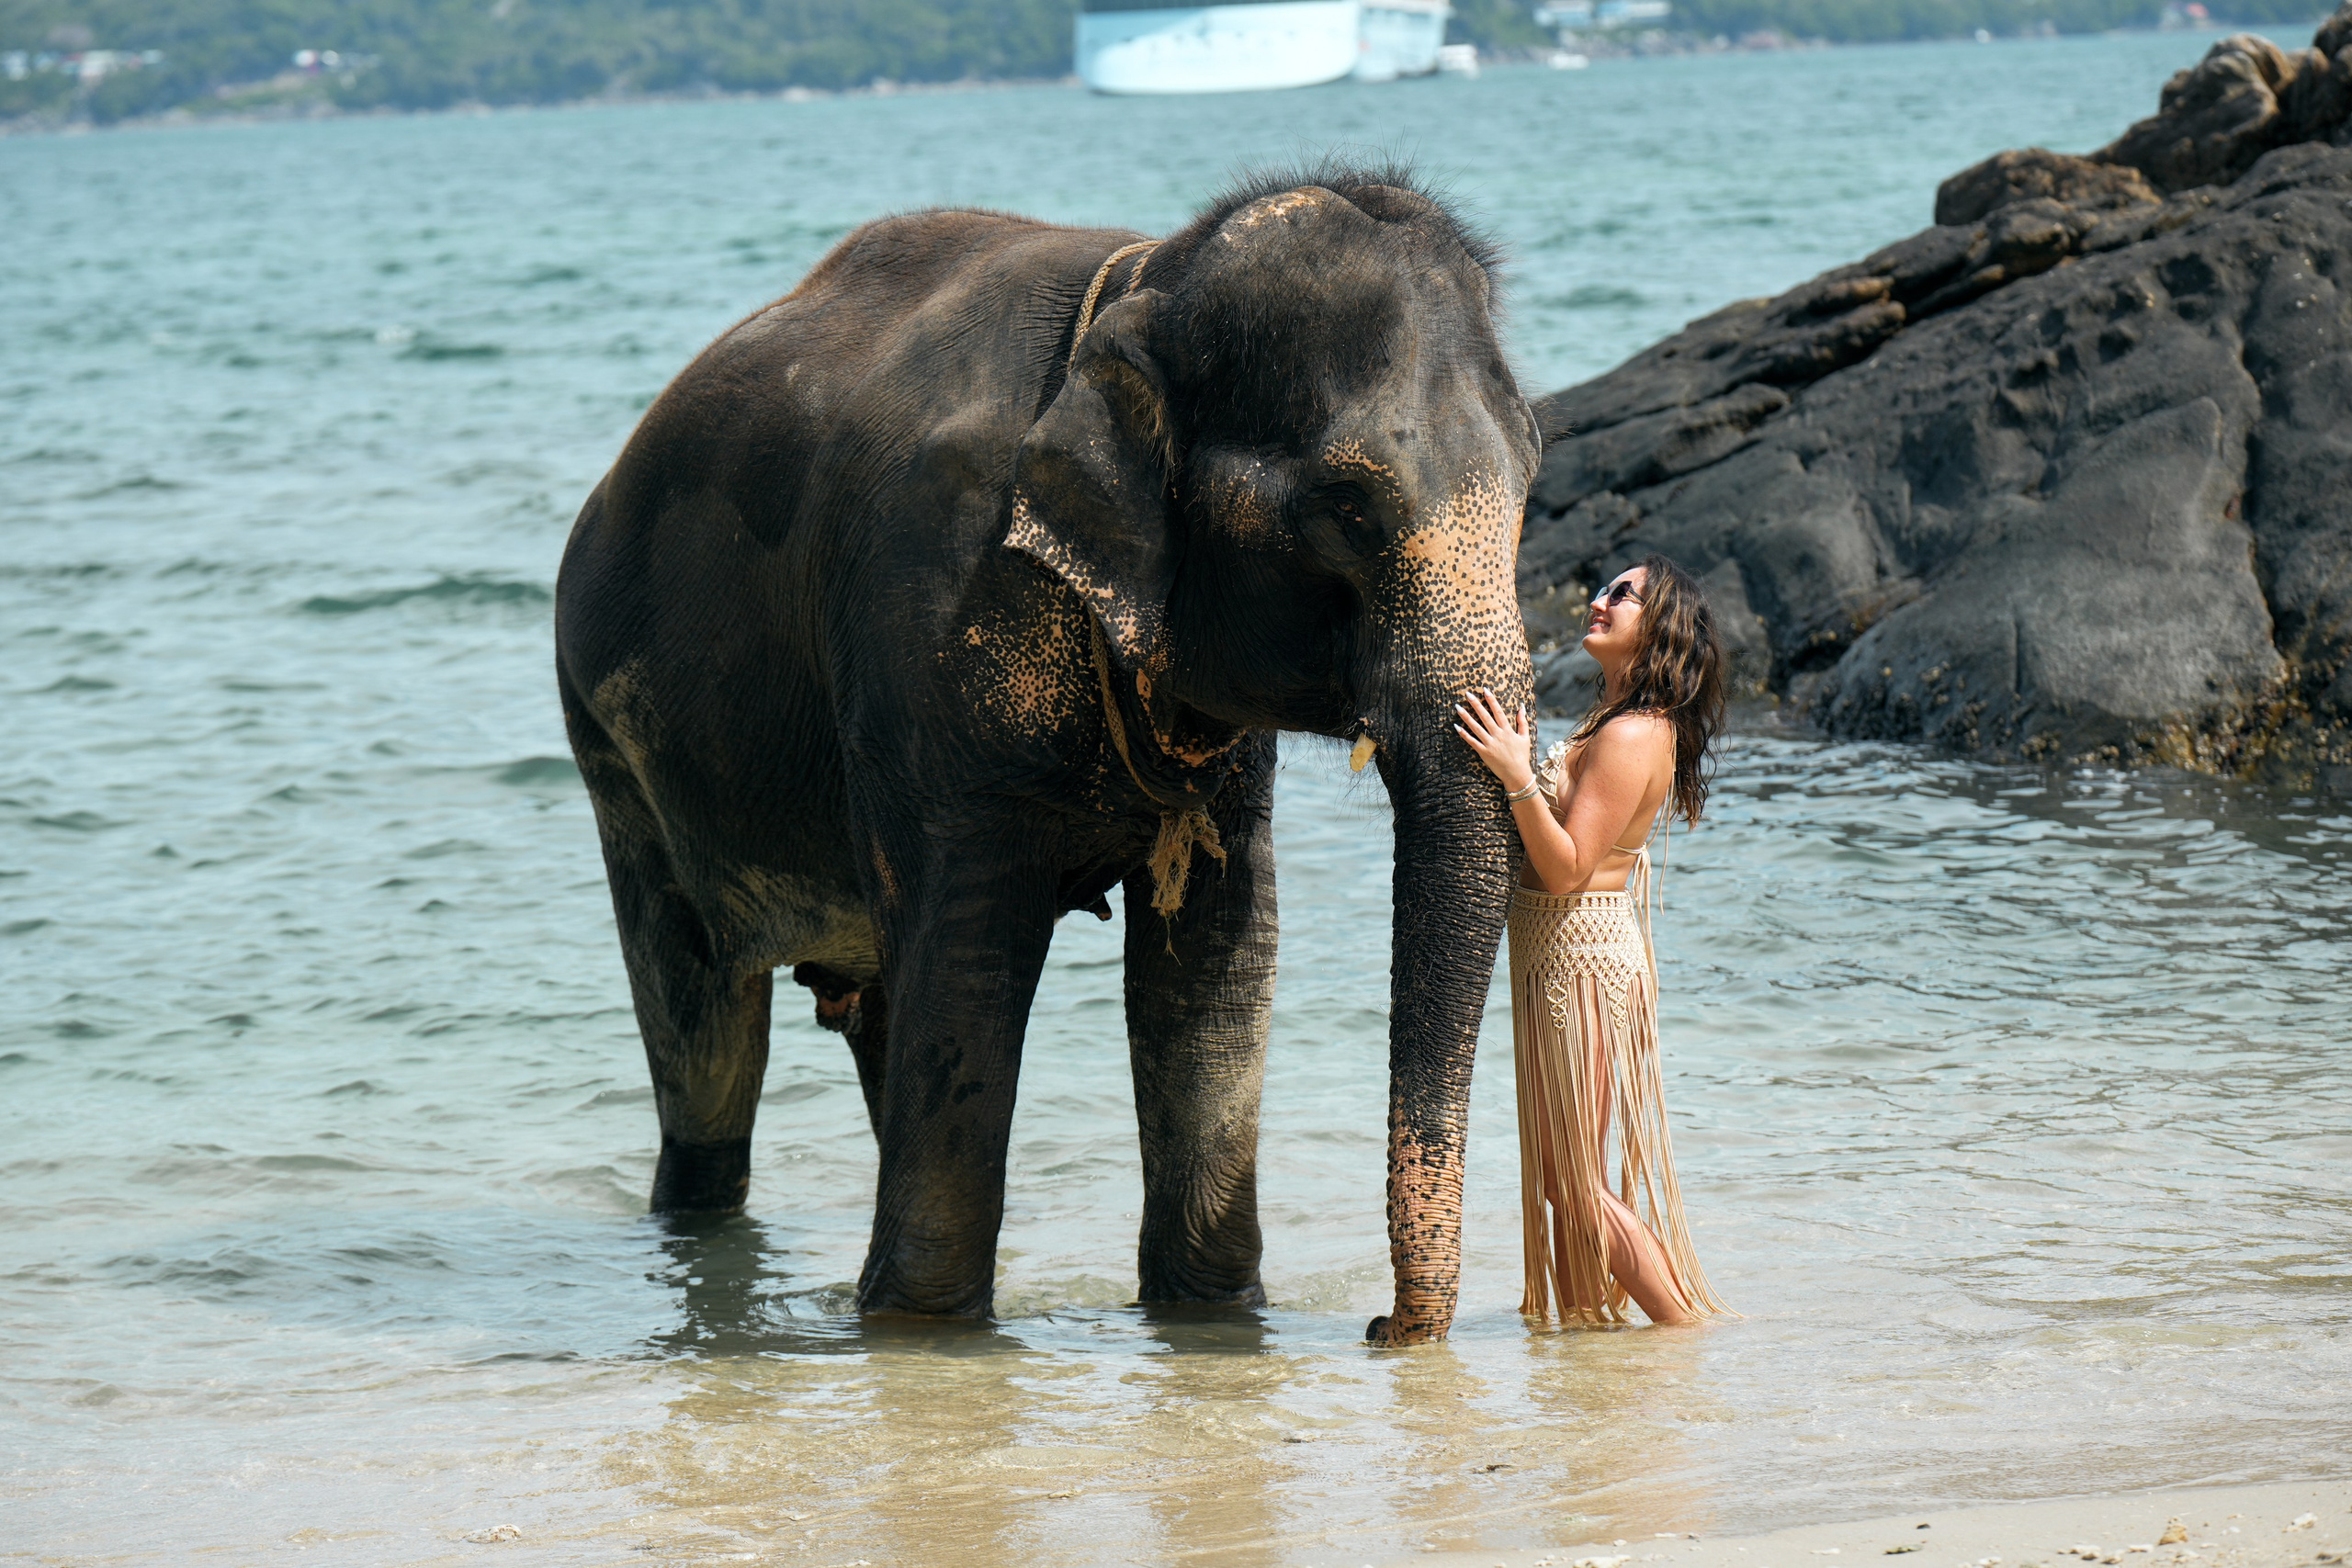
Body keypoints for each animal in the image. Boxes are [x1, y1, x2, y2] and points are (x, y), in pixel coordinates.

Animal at [554, 160, 1541, 1345]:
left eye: (1532, 480)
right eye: (1345, 506)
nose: (1384, 1331)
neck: (1146, 284)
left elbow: (1214, 963)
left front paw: (1209, 1321)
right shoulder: (931, 622)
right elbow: (971, 957)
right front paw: (923, 1334)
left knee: (874, 1012)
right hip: (613, 754)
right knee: (704, 1030)